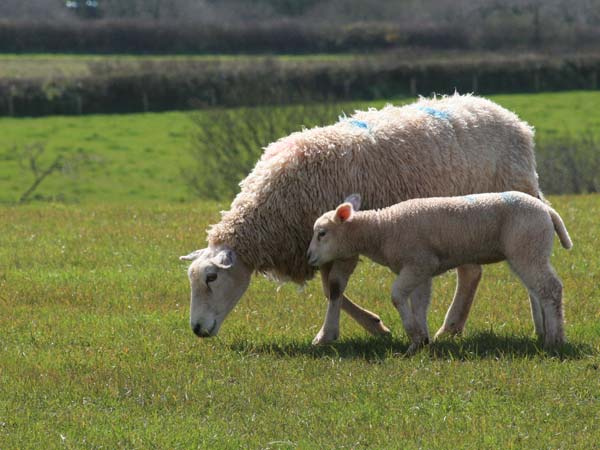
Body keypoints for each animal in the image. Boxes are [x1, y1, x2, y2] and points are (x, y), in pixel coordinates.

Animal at [179, 93, 540, 342]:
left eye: (211, 277)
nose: (196, 329)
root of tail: (504, 112)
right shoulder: (318, 245)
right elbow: (329, 289)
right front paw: (375, 326)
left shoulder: (342, 236)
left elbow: (334, 288)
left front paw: (327, 335)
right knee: (471, 273)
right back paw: (450, 328)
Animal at [308, 190, 576, 352]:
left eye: (322, 233)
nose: (309, 258)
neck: (383, 228)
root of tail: (548, 211)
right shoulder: (422, 270)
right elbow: (420, 303)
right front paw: (421, 341)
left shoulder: (419, 262)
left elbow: (396, 295)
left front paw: (413, 334)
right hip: (530, 250)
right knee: (541, 289)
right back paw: (551, 334)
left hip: (527, 246)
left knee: (551, 289)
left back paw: (555, 340)